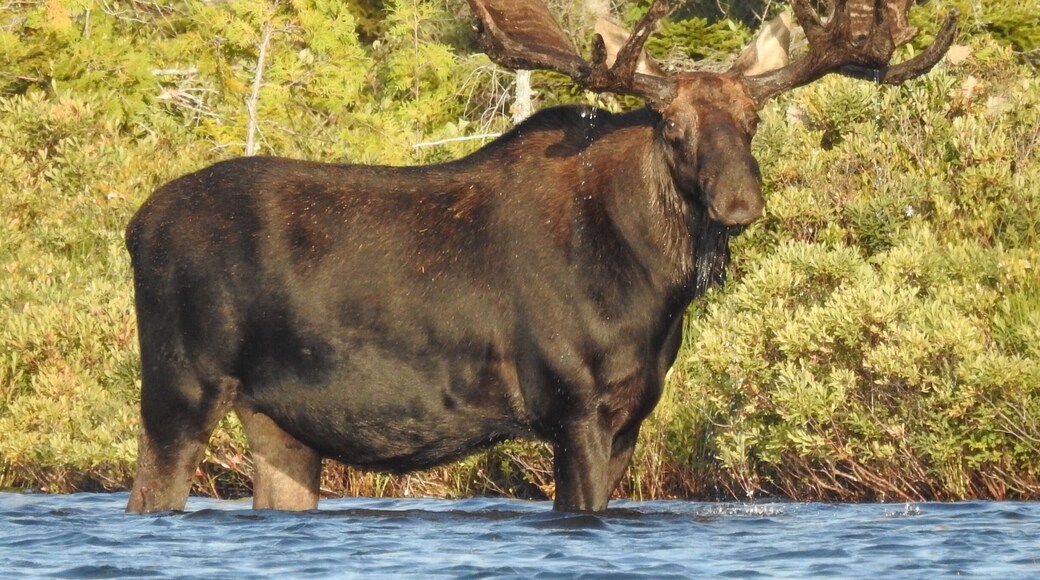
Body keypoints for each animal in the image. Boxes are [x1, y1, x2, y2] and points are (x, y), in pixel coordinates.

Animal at [125, 0, 957, 513]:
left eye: (752, 121)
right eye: (673, 127)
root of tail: (133, 227)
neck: (650, 290)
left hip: (279, 420)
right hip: (179, 387)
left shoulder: (630, 417)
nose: (738, 202)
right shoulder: (573, 405)